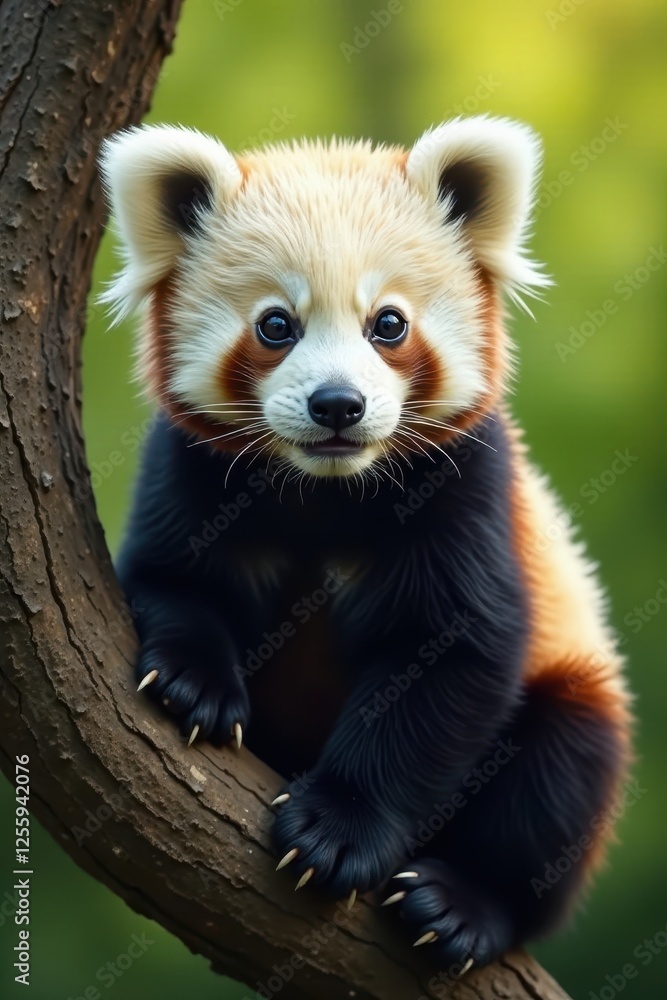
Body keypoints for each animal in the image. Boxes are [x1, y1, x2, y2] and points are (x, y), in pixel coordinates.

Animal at [99, 117, 632, 973]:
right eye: (275, 324)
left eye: (387, 324)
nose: (337, 405)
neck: (328, 488)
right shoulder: (192, 473)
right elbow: (173, 580)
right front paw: (191, 682)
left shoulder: (467, 492)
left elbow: (445, 663)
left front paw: (337, 831)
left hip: (577, 692)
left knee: (557, 778)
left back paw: (463, 905)